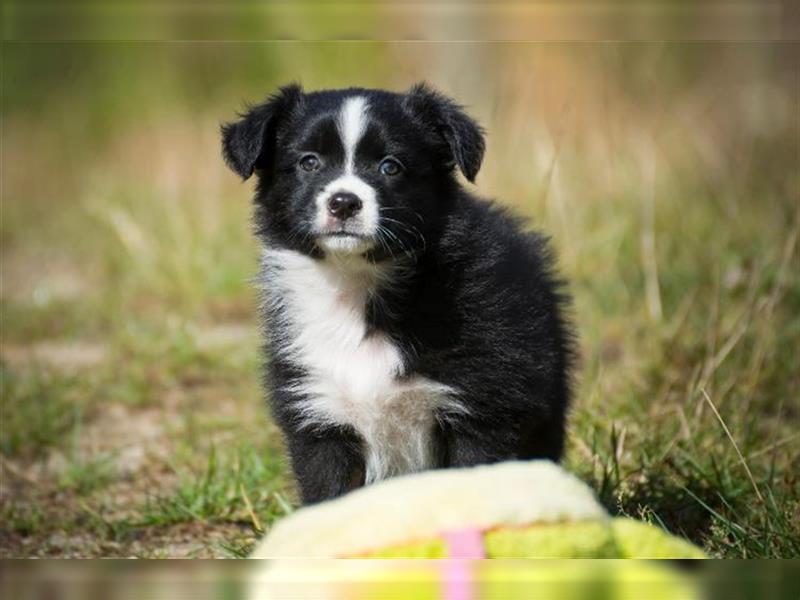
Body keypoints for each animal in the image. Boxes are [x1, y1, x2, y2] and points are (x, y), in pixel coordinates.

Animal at [222, 82, 580, 504]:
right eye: (309, 162)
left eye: (390, 166)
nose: (344, 202)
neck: (357, 281)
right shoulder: (318, 412)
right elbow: (328, 493)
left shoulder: (482, 407)